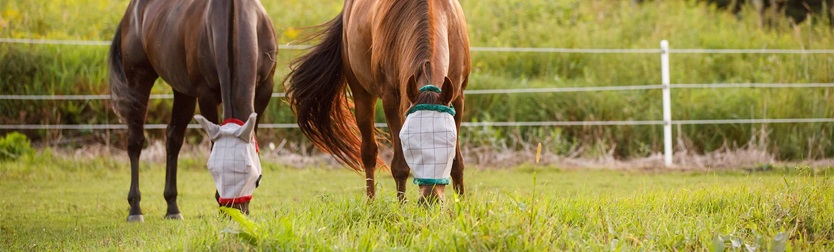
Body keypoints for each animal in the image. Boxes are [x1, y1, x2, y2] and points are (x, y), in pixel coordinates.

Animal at [105, 0, 276, 220]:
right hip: (138, 81)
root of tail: (132, 10)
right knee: (135, 141)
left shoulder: (265, 89)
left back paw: (172, 207)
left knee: (173, 138)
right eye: (213, 172)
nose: (233, 213)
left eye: (256, 177)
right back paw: (135, 209)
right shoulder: (205, 95)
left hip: (182, 91)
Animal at [284, 0, 468, 201]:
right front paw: (402, 207)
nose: (430, 200)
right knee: (368, 153)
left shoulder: (457, 96)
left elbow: (458, 163)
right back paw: (370, 203)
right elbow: (400, 165)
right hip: (361, 93)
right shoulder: (391, 100)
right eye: (410, 145)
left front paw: (461, 204)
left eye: (447, 143)